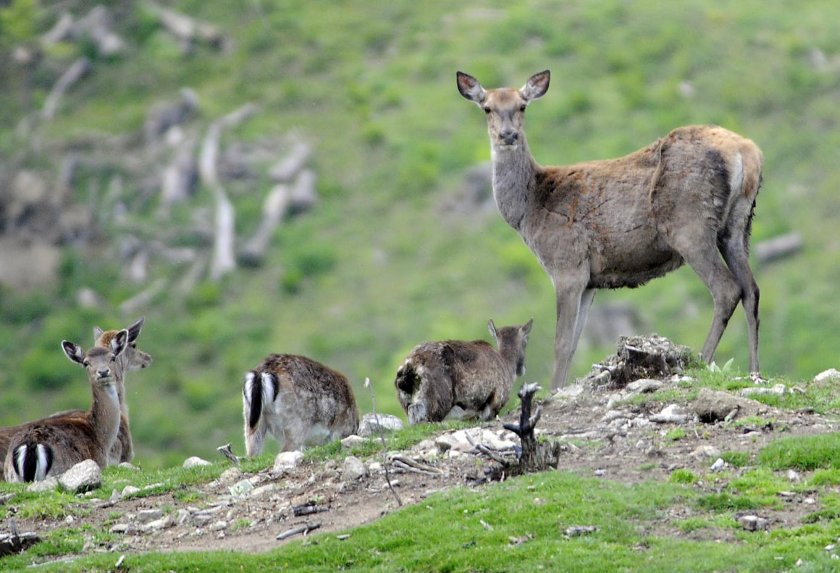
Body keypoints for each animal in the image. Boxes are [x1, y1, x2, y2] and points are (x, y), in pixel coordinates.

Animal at [394, 318, 532, 424]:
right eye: (526, 341)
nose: (522, 368)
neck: (506, 364)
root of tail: (411, 364)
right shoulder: (493, 404)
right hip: (436, 405)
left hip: (408, 403)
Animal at [456, 68, 764, 388]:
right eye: (487, 107)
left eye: (522, 106)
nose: (508, 135)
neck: (529, 211)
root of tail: (748, 153)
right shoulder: (591, 281)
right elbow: (574, 343)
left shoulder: (567, 265)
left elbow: (561, 343)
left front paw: (553, 390)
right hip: (738, 225)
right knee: (751, 290)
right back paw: (754, 371)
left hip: (689, 225)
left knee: (727, 289)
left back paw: (701, 360)